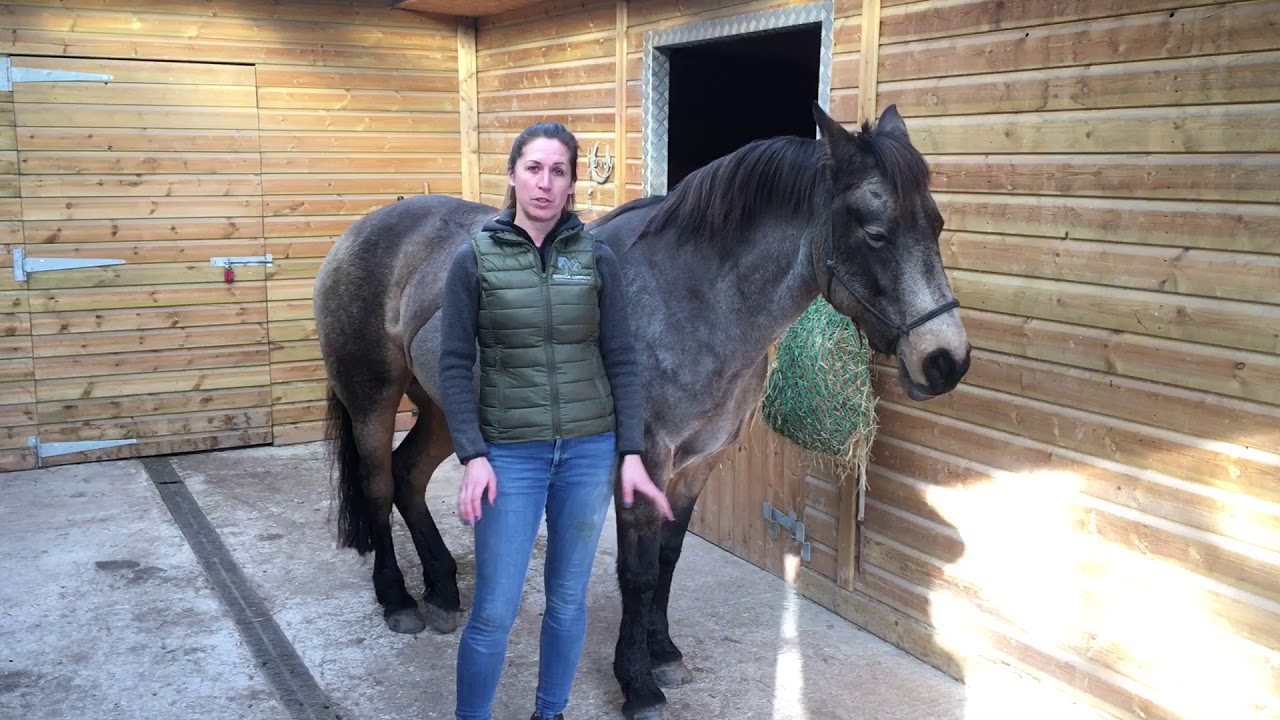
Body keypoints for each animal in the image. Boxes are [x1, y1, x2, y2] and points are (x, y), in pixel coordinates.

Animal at [313, 102, 970, 720]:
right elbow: (638, 571)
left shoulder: (697, 465)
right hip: (372, 400)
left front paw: (663, 653)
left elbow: (669, 558)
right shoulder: (644, 460)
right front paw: (637, 685)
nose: (946, 362)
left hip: (446, 411)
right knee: (379, 485)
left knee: (408, 475)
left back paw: (445, 590)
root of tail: (361, 230)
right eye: (877, 233)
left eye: (936, 224)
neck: (692, 301)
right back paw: (399, 600)